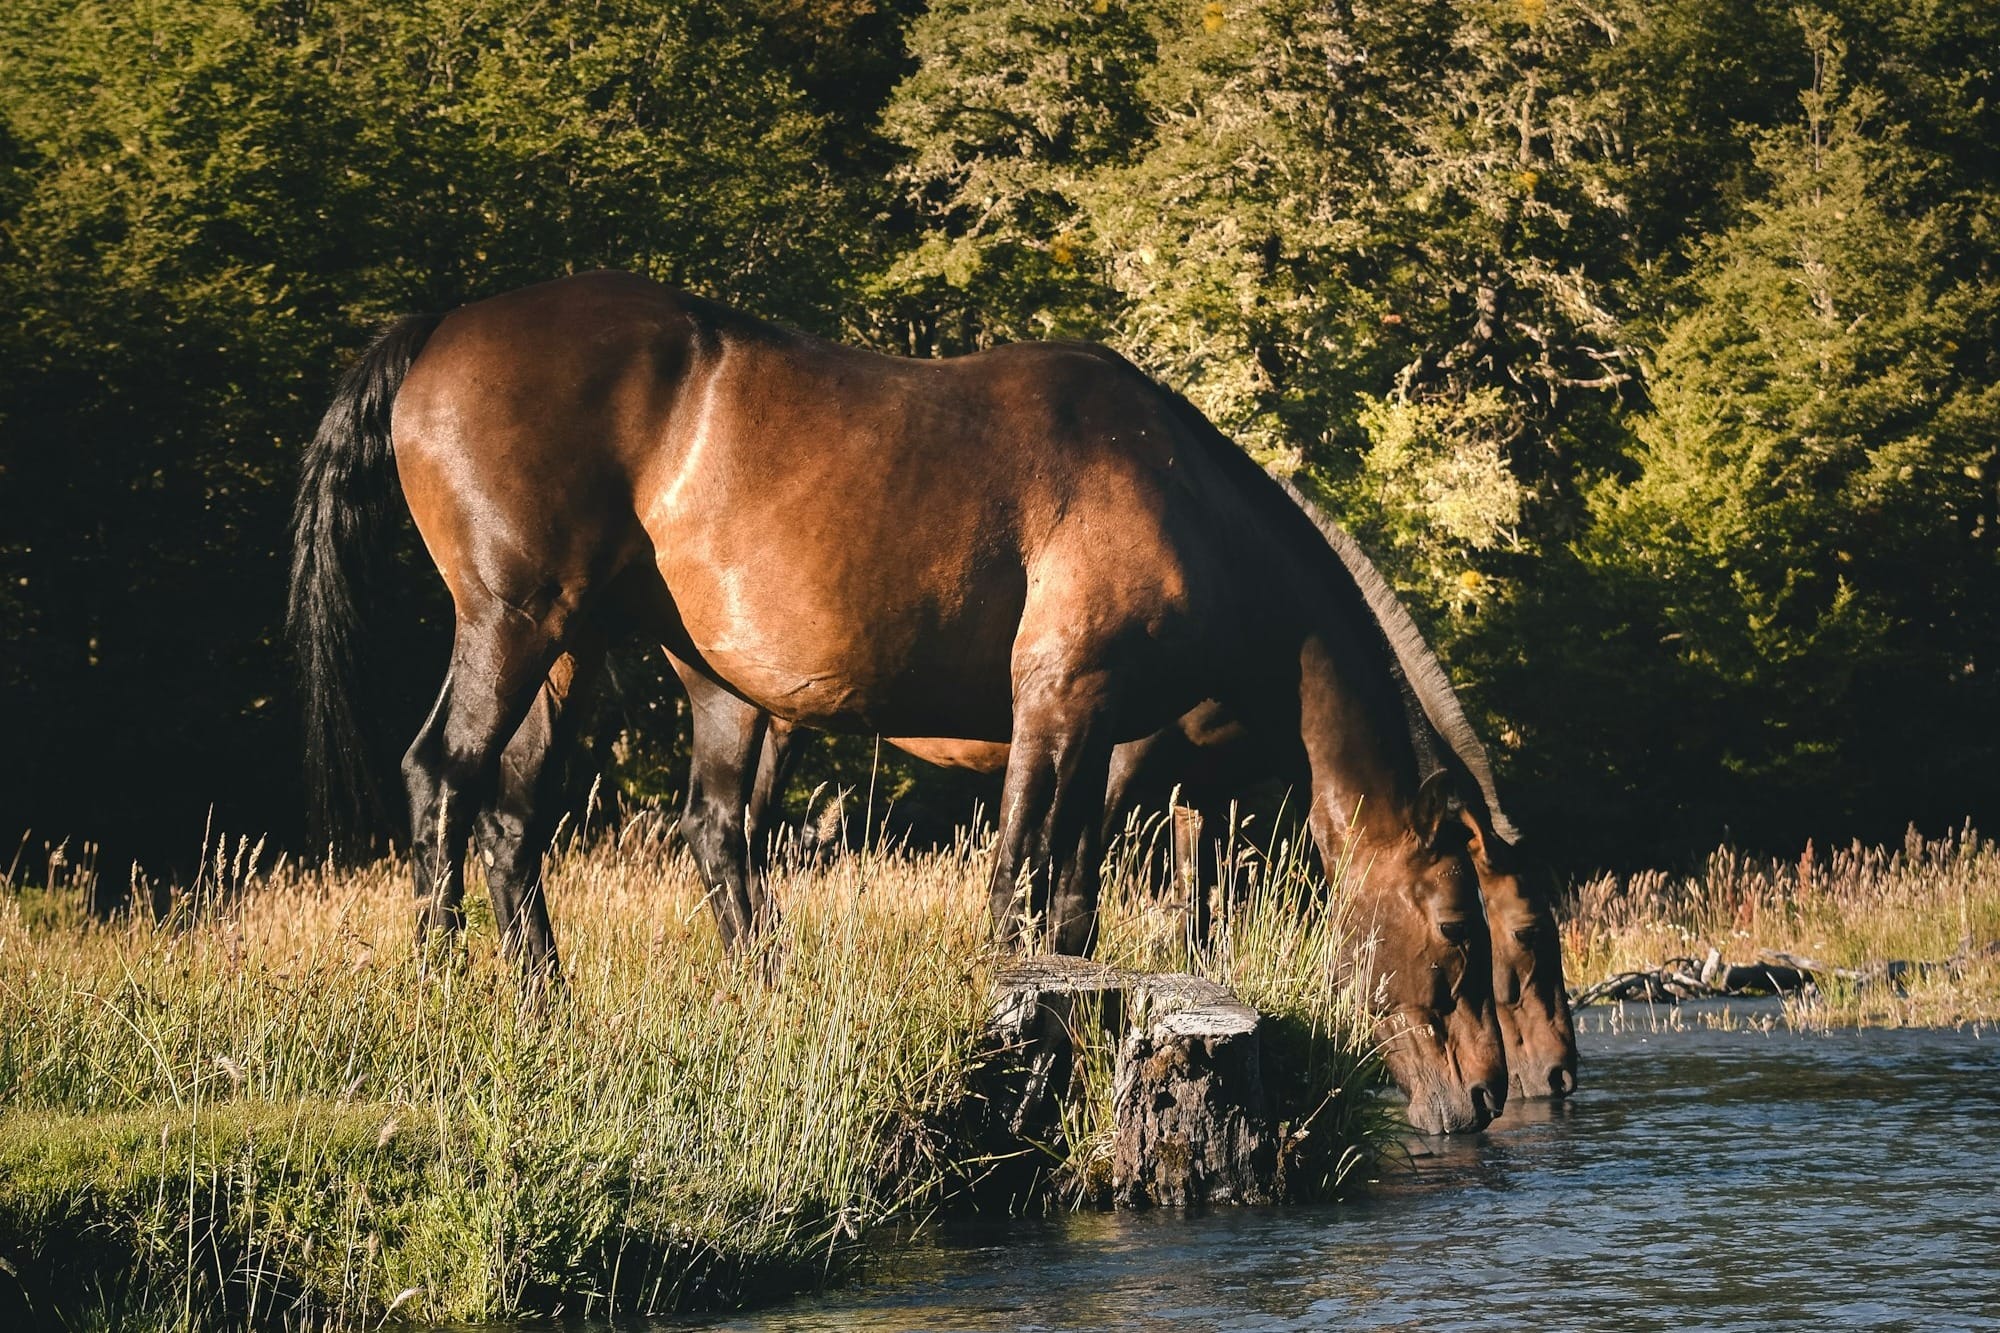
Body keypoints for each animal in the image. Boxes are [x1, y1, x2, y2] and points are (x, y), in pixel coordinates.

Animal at [685, 491, 1577, 1102]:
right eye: (1524, 932)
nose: (1559, 1073)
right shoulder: (1119, 764)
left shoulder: (1204, 795)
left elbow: (1201, 919)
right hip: (779, 716)